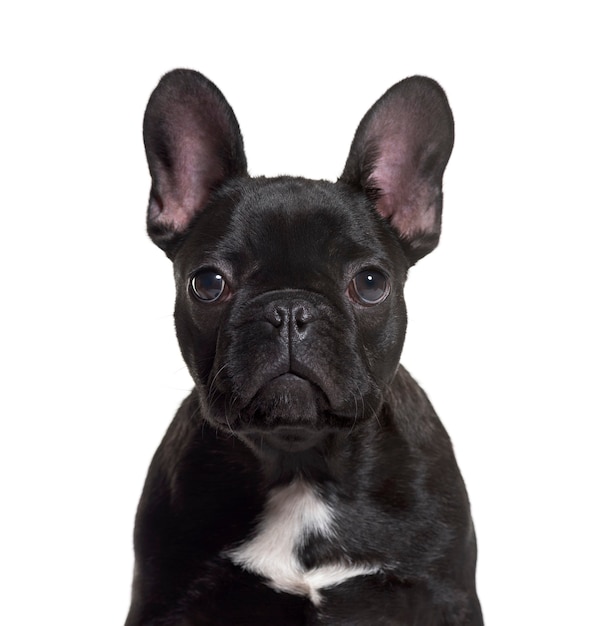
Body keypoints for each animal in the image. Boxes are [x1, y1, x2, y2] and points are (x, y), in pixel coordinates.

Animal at [125, 70, 480, 620]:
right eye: (208, 283)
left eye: (371, 283)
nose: (289, 310)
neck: (302, 465)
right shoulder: (166, 599)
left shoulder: (445, 595)